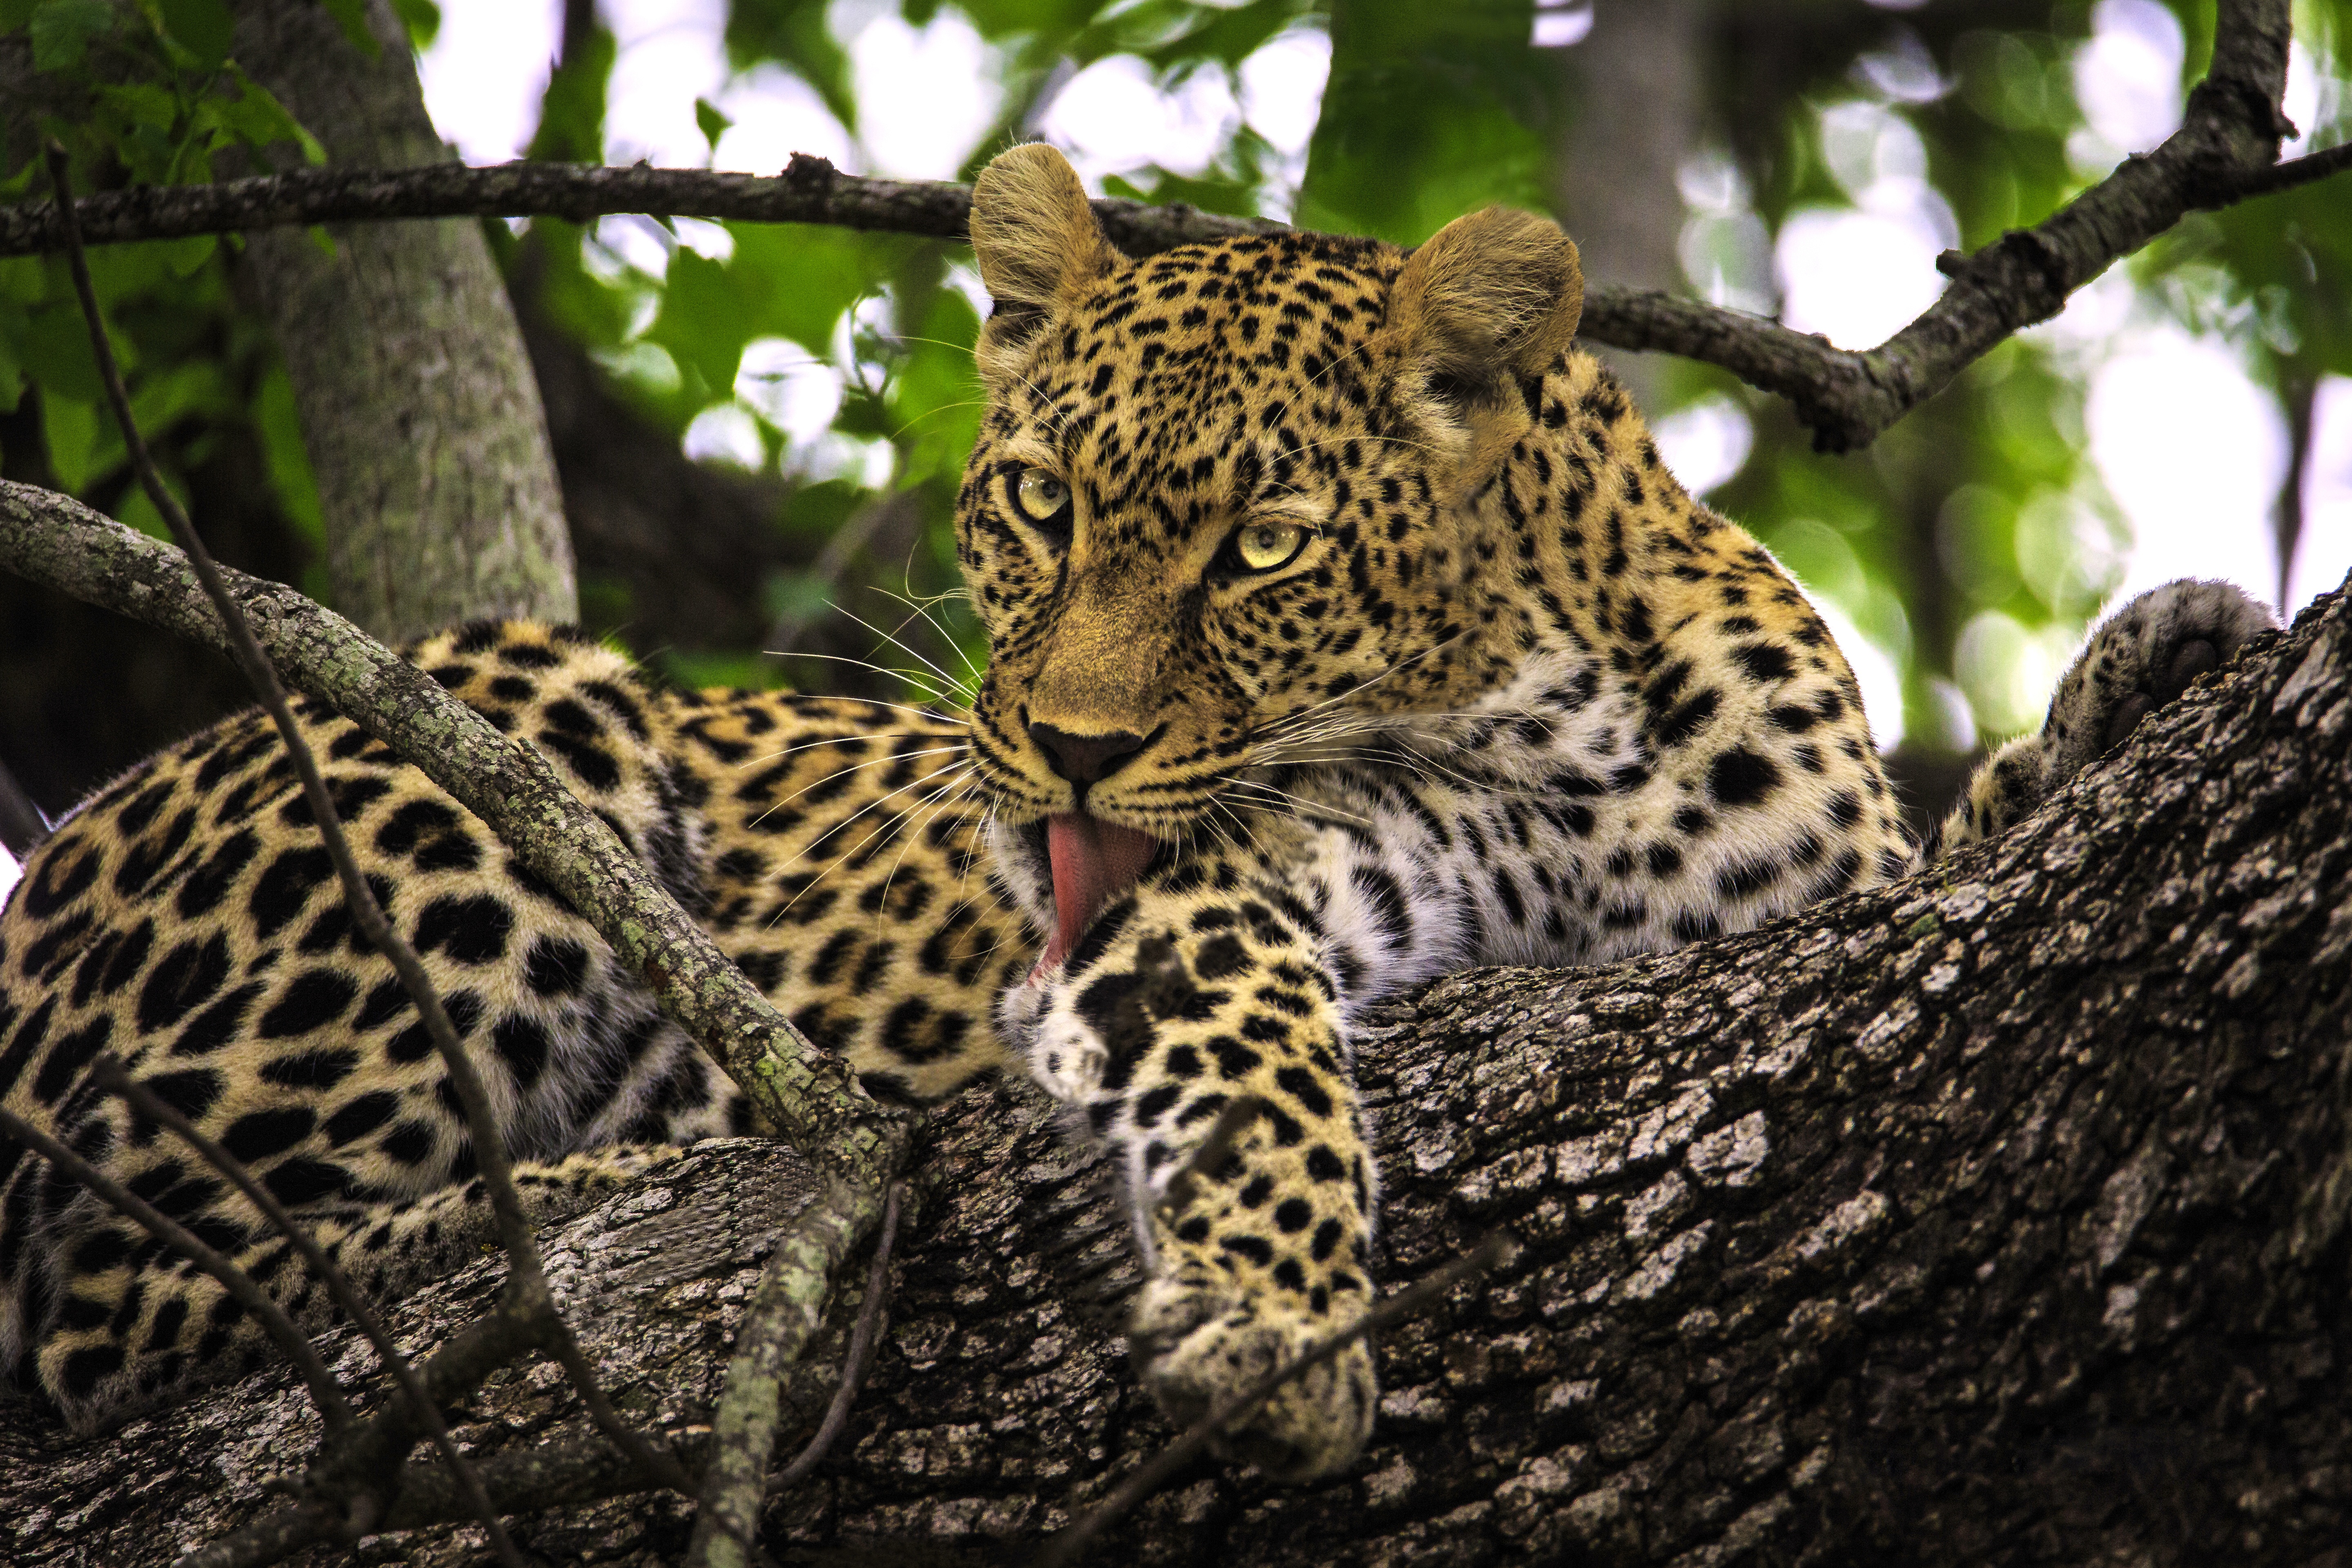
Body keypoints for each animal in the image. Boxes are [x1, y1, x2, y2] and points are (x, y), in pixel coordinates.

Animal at [0, 144, 2276, 1486]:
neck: (1571, 738)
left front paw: (2140, 680)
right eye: (1035, 502)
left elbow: (1948, 852)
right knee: (107, 1287)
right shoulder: (1208, 903)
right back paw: (576, 1187)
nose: (1069, 754)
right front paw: (1276, 1321)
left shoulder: (1809, 896)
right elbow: (1258, 1051)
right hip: (490, 714)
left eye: (1261, 542)